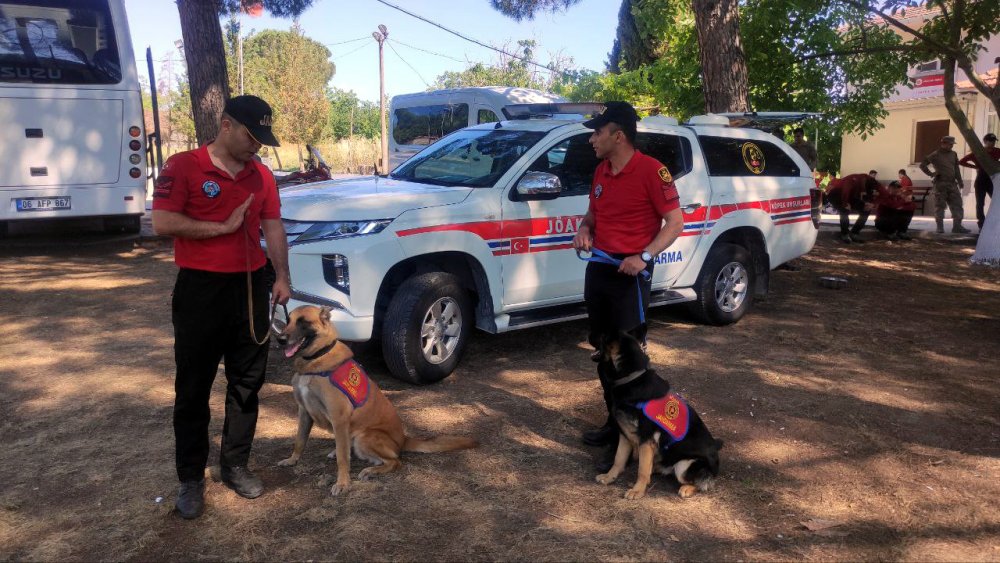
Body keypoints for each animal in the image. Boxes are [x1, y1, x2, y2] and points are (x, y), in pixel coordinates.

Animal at [274, 306, 476, 496]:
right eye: (288, 320)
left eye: (303, 322)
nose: (280, 339)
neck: (315, 361)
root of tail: (403, 439)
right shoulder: (304, 412)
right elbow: (300, 440)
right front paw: (292, 459)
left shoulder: (339, 418)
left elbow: (342, 458)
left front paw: (343, 483)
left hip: (365, 437)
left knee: (395, 461)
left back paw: (371, 470)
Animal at [592, 332, 728, 500]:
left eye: (602, 337)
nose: (590, 335)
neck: (633, 378)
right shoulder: (625, 435)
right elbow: (618, 460)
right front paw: (609, 477)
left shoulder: (646, 440)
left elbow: (642, 470)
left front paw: (637, 490)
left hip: (684, 465)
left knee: (701, 483)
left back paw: (687, 488)